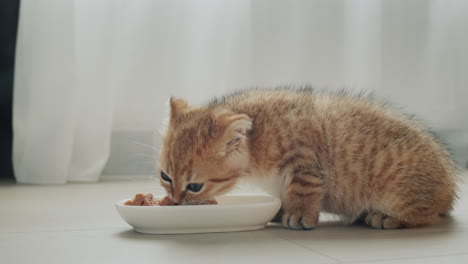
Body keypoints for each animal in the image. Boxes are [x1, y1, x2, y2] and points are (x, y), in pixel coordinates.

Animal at [158, 88, 458, 229]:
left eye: (194, 186)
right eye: (165, 177)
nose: (174, 200)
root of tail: (449, 181)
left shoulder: (305, 160)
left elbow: (302, 190)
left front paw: (300, 215)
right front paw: (281, 211)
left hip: (397, 191)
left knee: (428, 213)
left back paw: (386, 217)